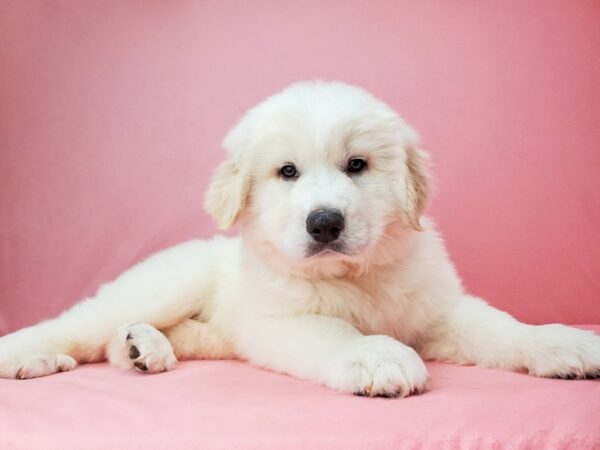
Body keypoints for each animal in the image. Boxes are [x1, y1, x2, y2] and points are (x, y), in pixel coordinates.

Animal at [1, 81, 600, 398]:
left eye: (357, 165)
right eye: (287, 172)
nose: (325, 223)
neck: (353, 277)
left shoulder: (438, 310)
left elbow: (501, 327)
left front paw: (562, 343)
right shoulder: (284, 319)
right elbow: (336, 331)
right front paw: (377, 356)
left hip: (210, 330)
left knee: (127, 340)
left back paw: (141, 348)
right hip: (166, 284)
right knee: (77, 327)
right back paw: (33, 356)